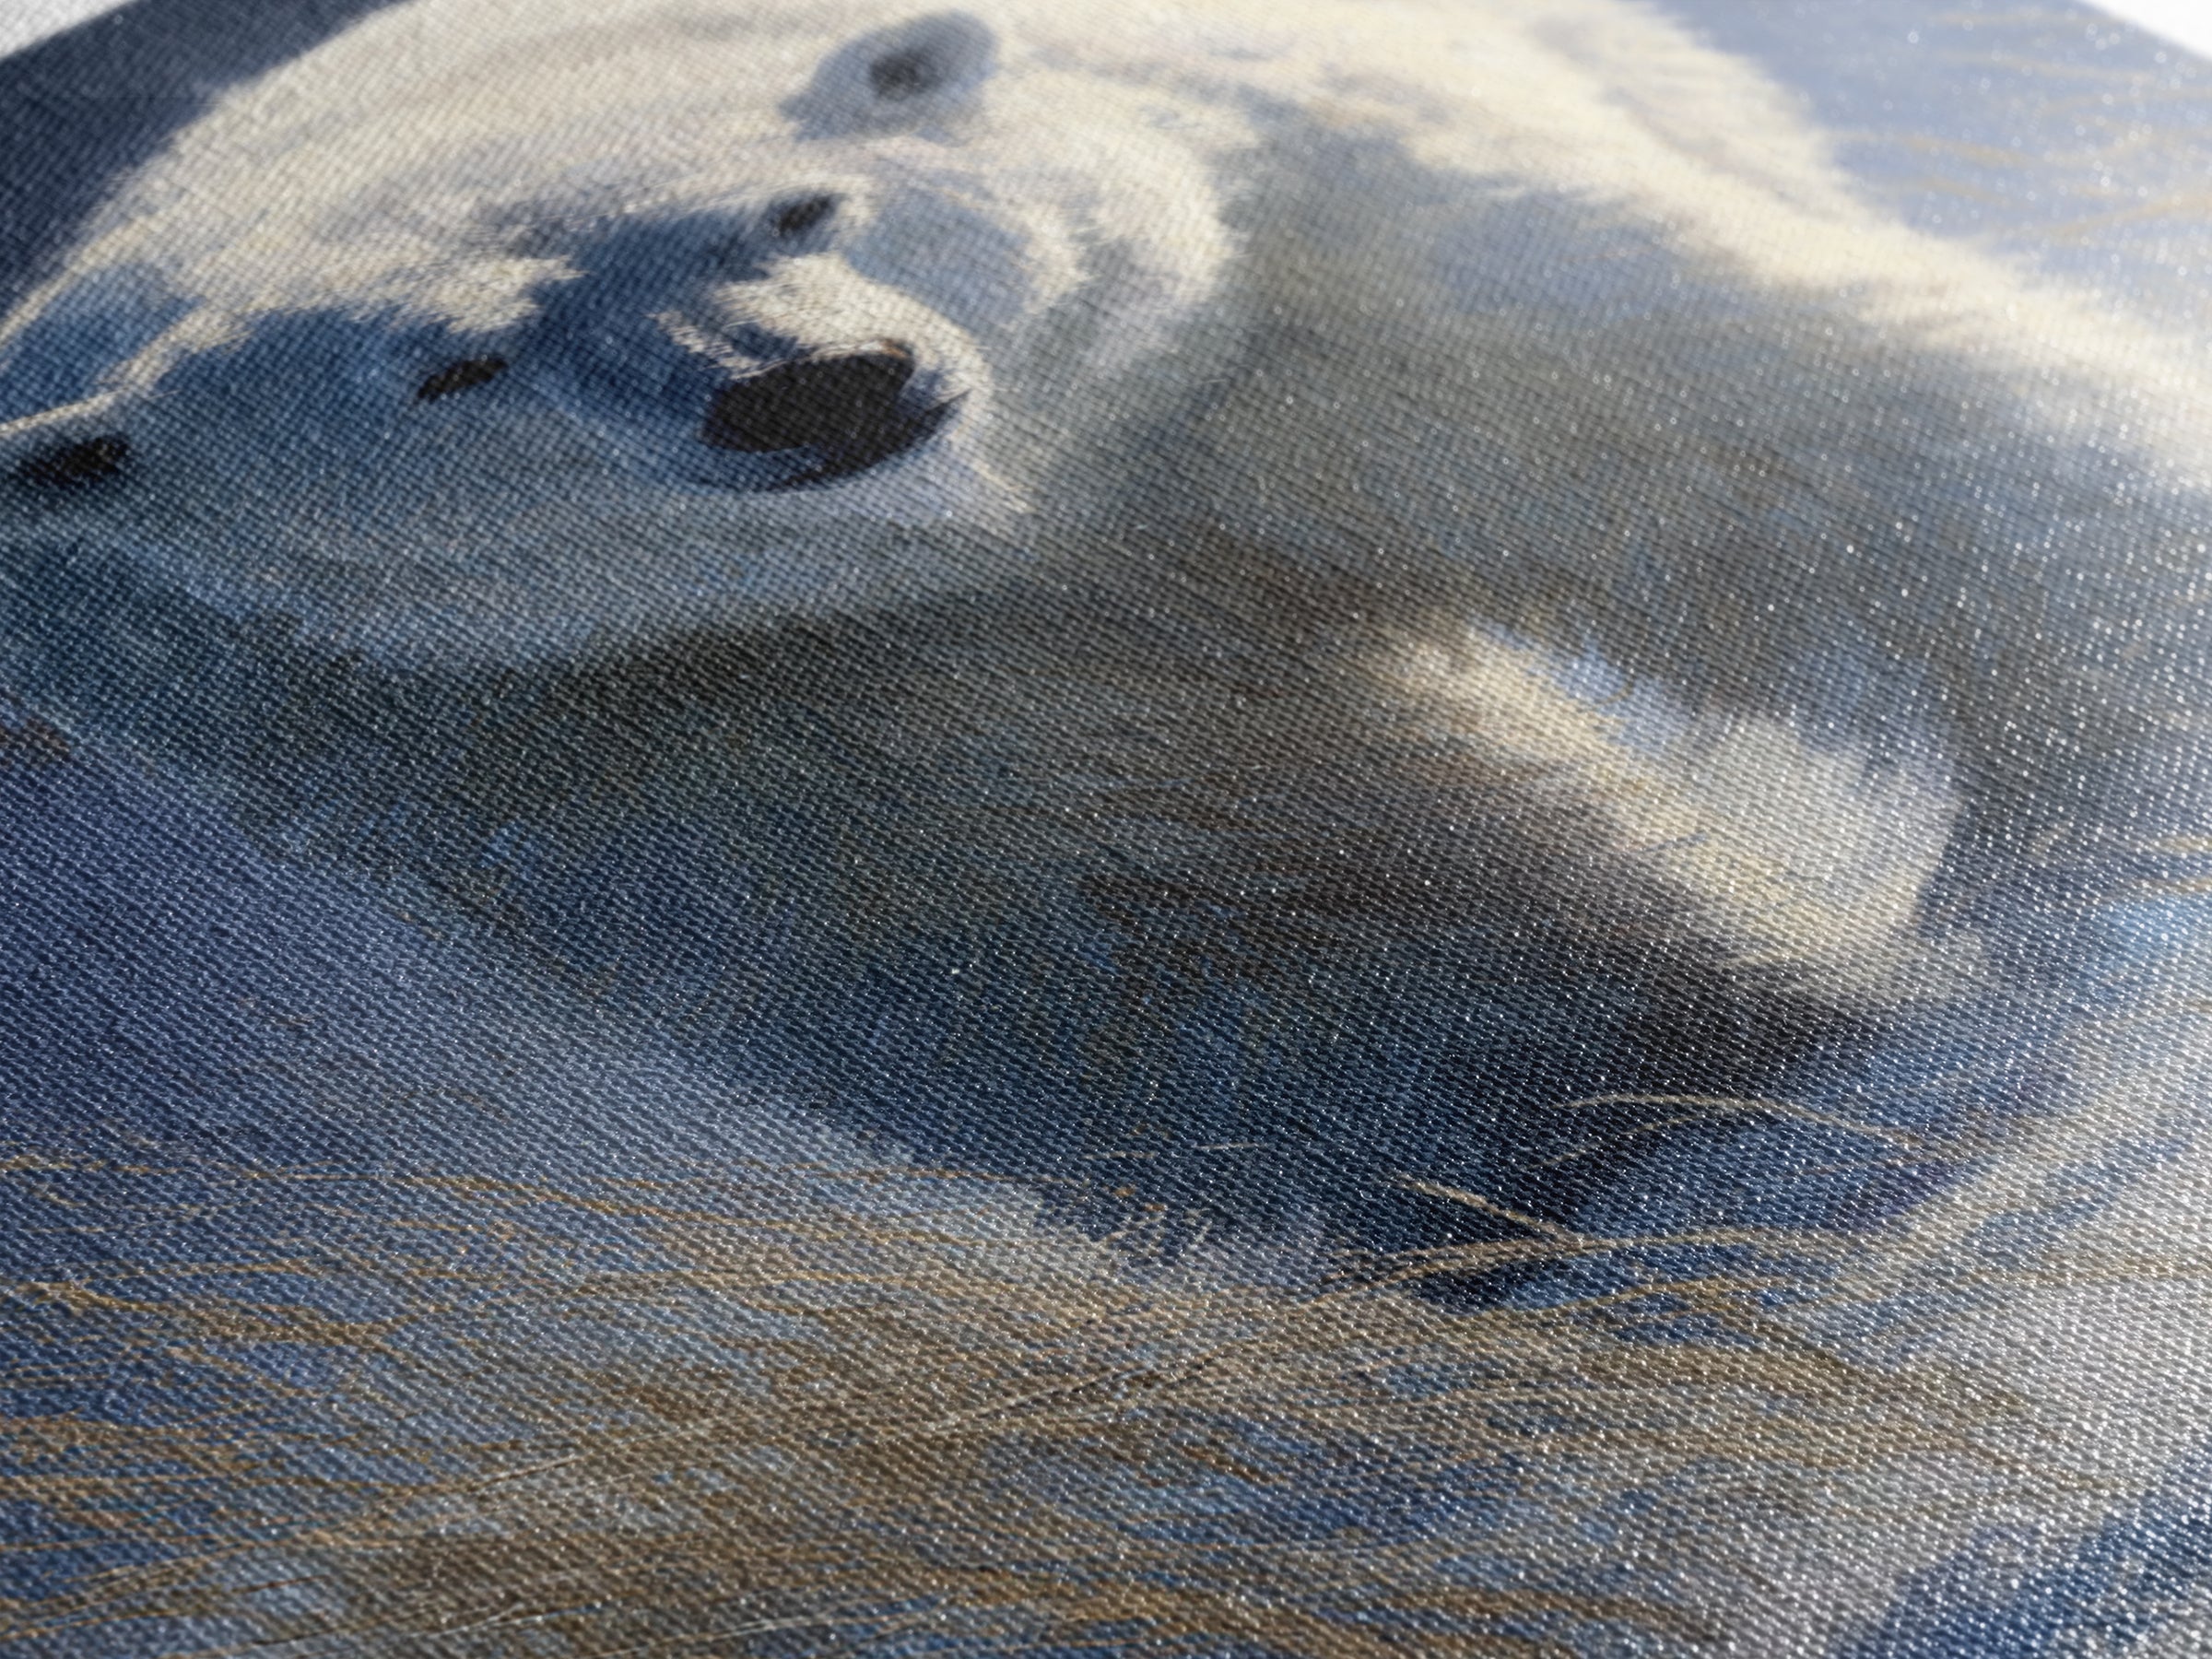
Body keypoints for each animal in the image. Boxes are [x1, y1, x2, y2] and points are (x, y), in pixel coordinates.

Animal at [6, 0, 2212, 1652]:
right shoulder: (579, 692)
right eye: (453, 366)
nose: (815, 387)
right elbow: (1199, 901)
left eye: (789, 202)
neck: (1014, 505)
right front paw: (1663, 1119)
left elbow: (1777, 444)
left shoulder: (1271, 268)